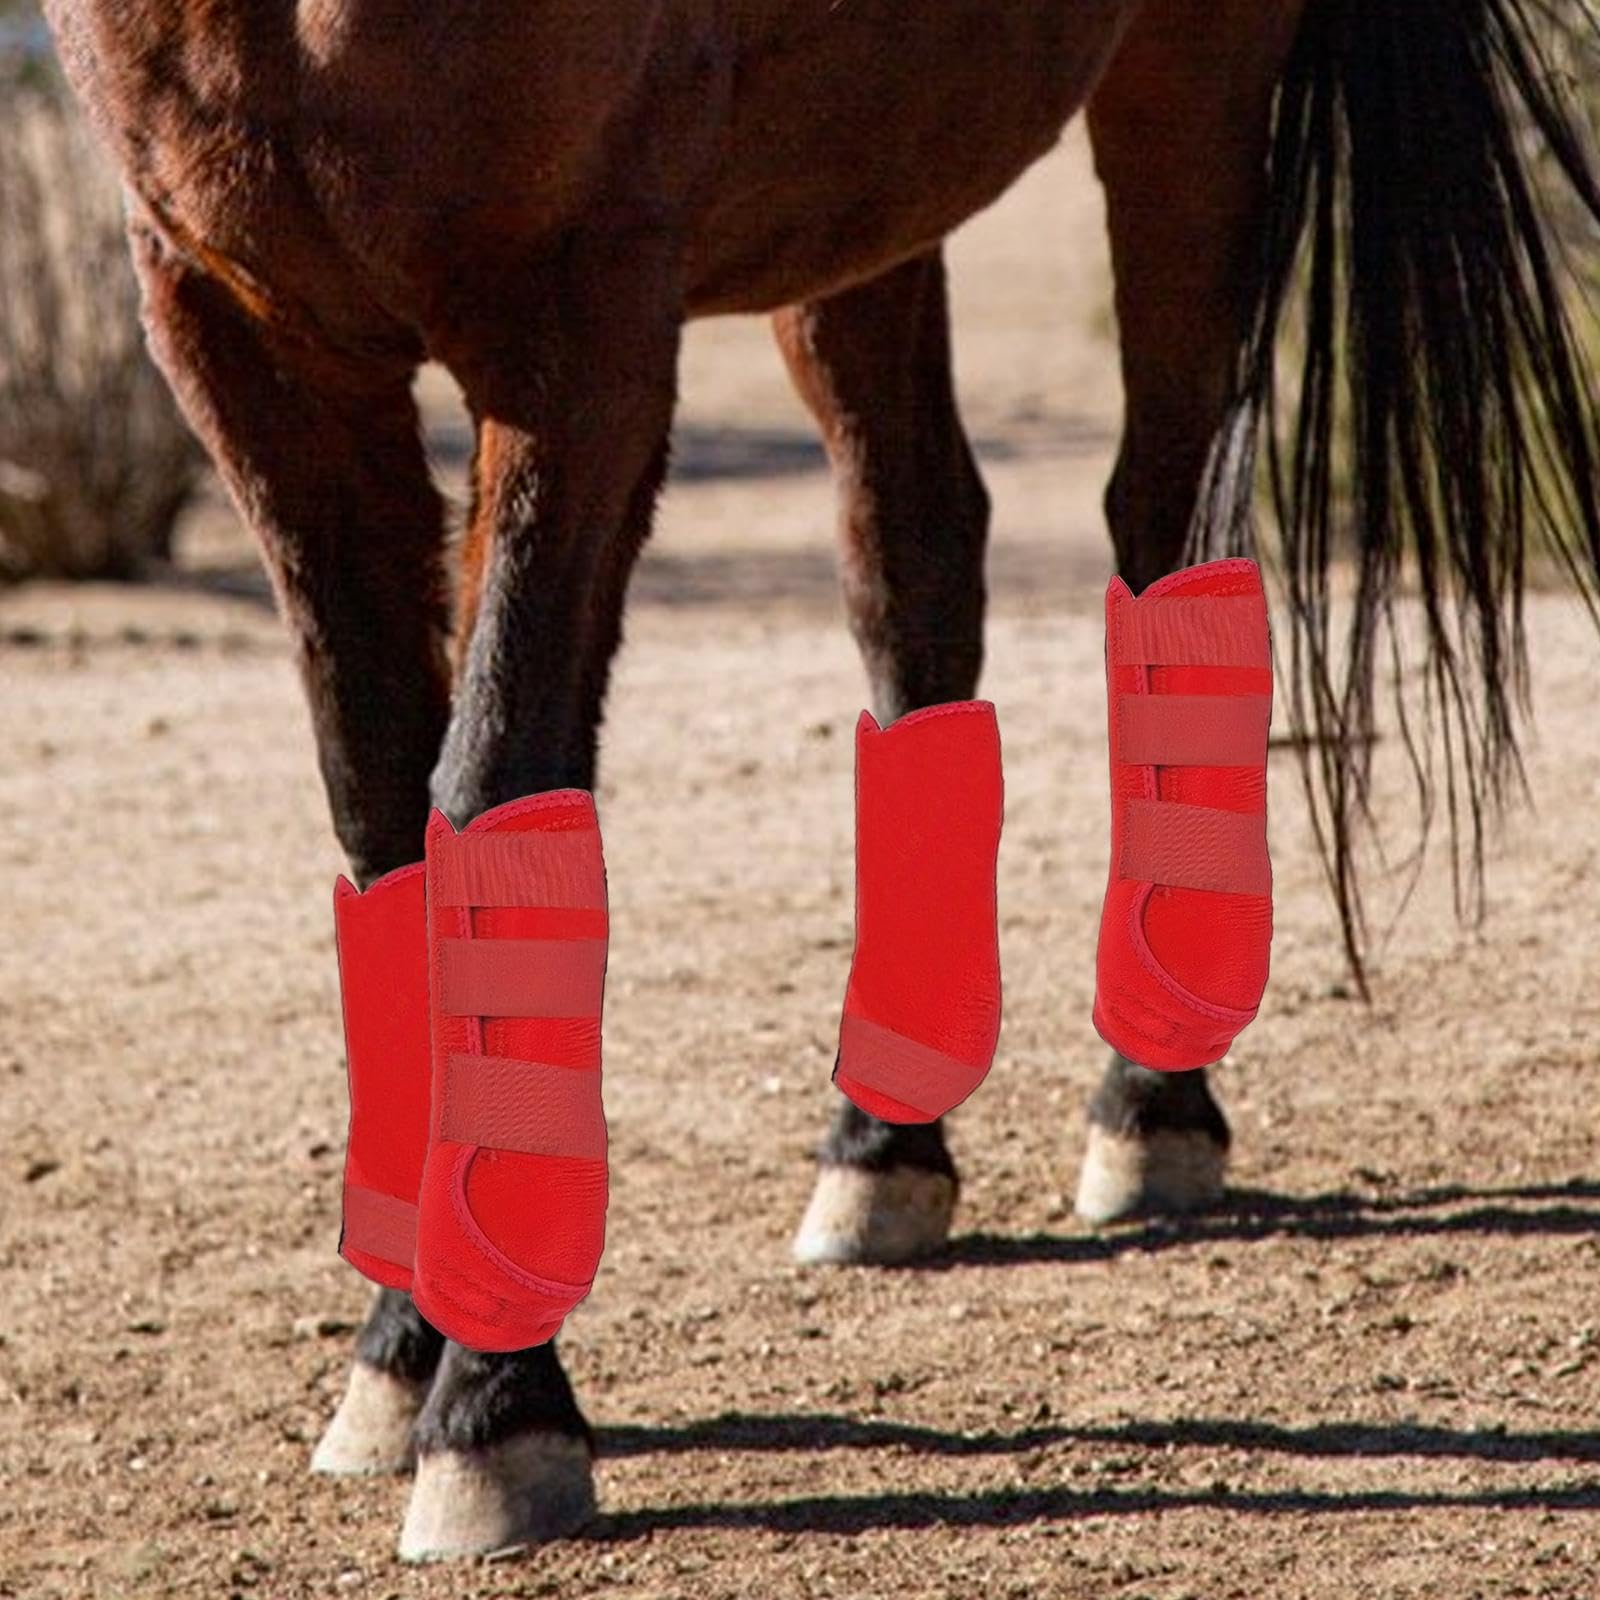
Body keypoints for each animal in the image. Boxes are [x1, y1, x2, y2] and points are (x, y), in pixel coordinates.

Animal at [41, 0, 1600, 1560]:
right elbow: (381, 815)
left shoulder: (577, 330)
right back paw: (882, 1147)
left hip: (1192, 89)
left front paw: (495, 1407)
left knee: (1168, 525)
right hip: (868, 200)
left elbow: (491, 789)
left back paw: (1148, 1107)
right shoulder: (241, 333)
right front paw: (401, 1346)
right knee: (916, 555)